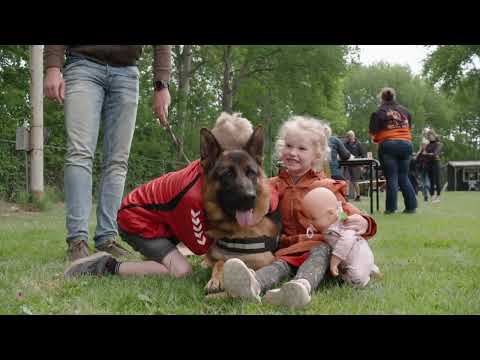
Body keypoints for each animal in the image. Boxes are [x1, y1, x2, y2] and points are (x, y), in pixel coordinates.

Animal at [200, 125, 282, 294]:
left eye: (251, 172)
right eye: (227, 174)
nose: (249, 197)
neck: (233, 231)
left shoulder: (264, 258)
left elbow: (231, 260)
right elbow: (220, 260)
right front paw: (215, 278)